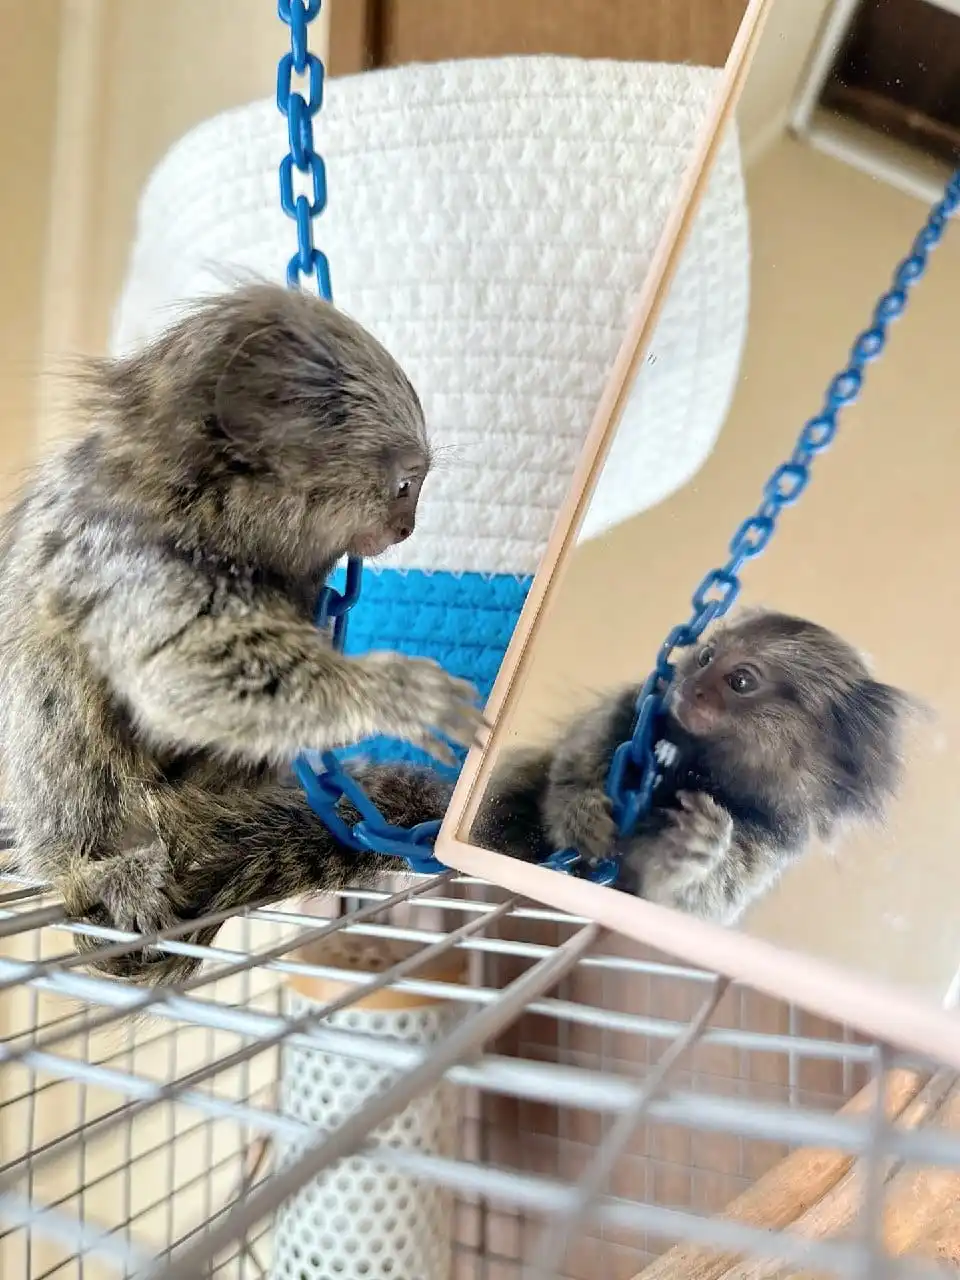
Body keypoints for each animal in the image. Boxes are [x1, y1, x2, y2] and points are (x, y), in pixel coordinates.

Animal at [0, 281, 487, 983]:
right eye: (405, 485)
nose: (408, 527)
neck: (201, 502)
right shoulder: (127, 551)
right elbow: (182, 674)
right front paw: (393, 694)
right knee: (59, 700)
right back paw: (98, 867)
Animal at [474, 609, 915, 924]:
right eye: (705, 657)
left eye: (740, 681)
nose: (692, 686)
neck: (695, 766)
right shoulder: (639, 709)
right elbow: (580, 753)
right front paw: (583, 814)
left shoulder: (769, 840)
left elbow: (687, 900)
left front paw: (699, 844)